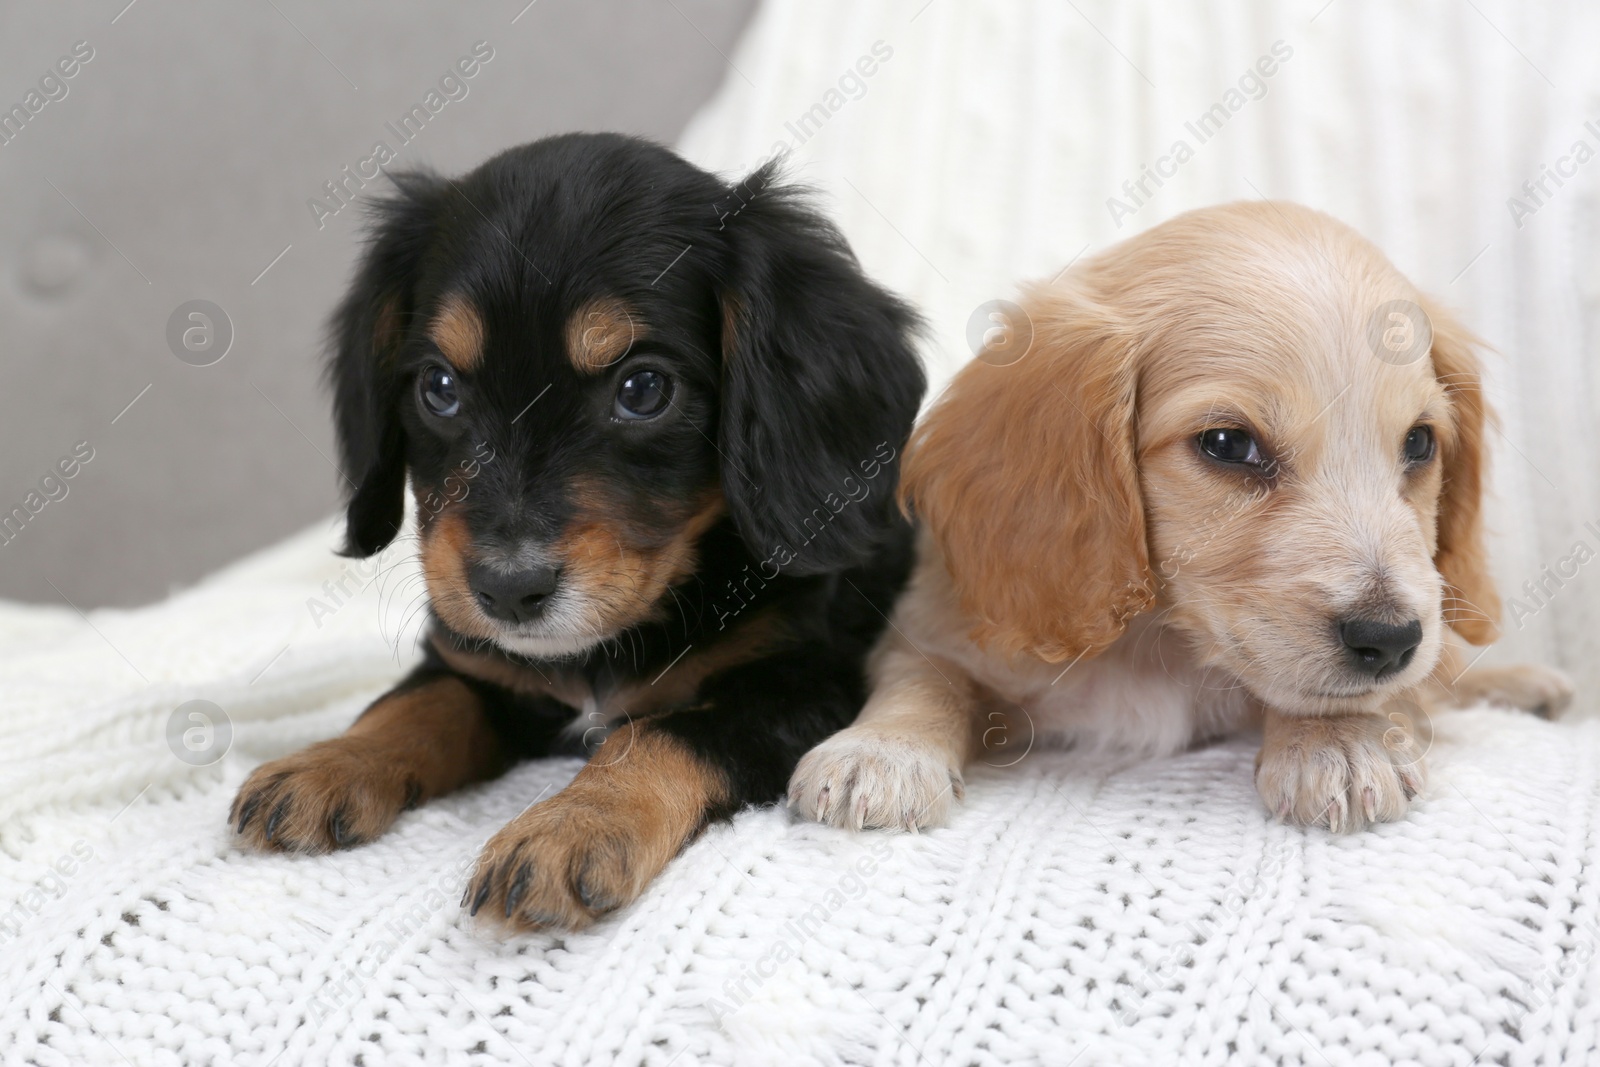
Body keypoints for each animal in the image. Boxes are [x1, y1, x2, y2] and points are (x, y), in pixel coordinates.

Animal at [228, 133, 928, 927]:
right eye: (439, 387)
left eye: (644, 389)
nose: (507, 591)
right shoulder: (481, 667)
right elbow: (413, 702)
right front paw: (327, 762)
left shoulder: (802, 686)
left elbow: (656, 733)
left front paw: (573, 825)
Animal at [793, 199, 1568, 831]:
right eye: (1227, 444)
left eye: (1420, 443)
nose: (1390, 639)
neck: (1161, 640)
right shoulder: (940, 625)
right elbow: (924, 676)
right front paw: (881, 749)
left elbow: (1359, 691)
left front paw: (1340, 738)